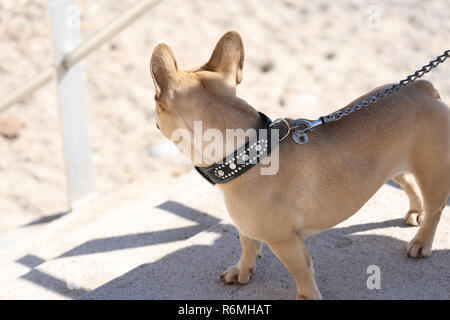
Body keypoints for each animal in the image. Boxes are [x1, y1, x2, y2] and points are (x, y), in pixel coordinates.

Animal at [149, 31, 450, 298]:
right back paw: (414, 211)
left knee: (435, 209)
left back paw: (422, 242)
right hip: (393, 165)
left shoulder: (285, 241)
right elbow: (247, 246)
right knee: (408, 183)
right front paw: (242, 270)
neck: (247, 151)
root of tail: (422, 88)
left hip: (433, 172)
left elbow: (301, 272)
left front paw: (306, 296)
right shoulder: (246, 225)